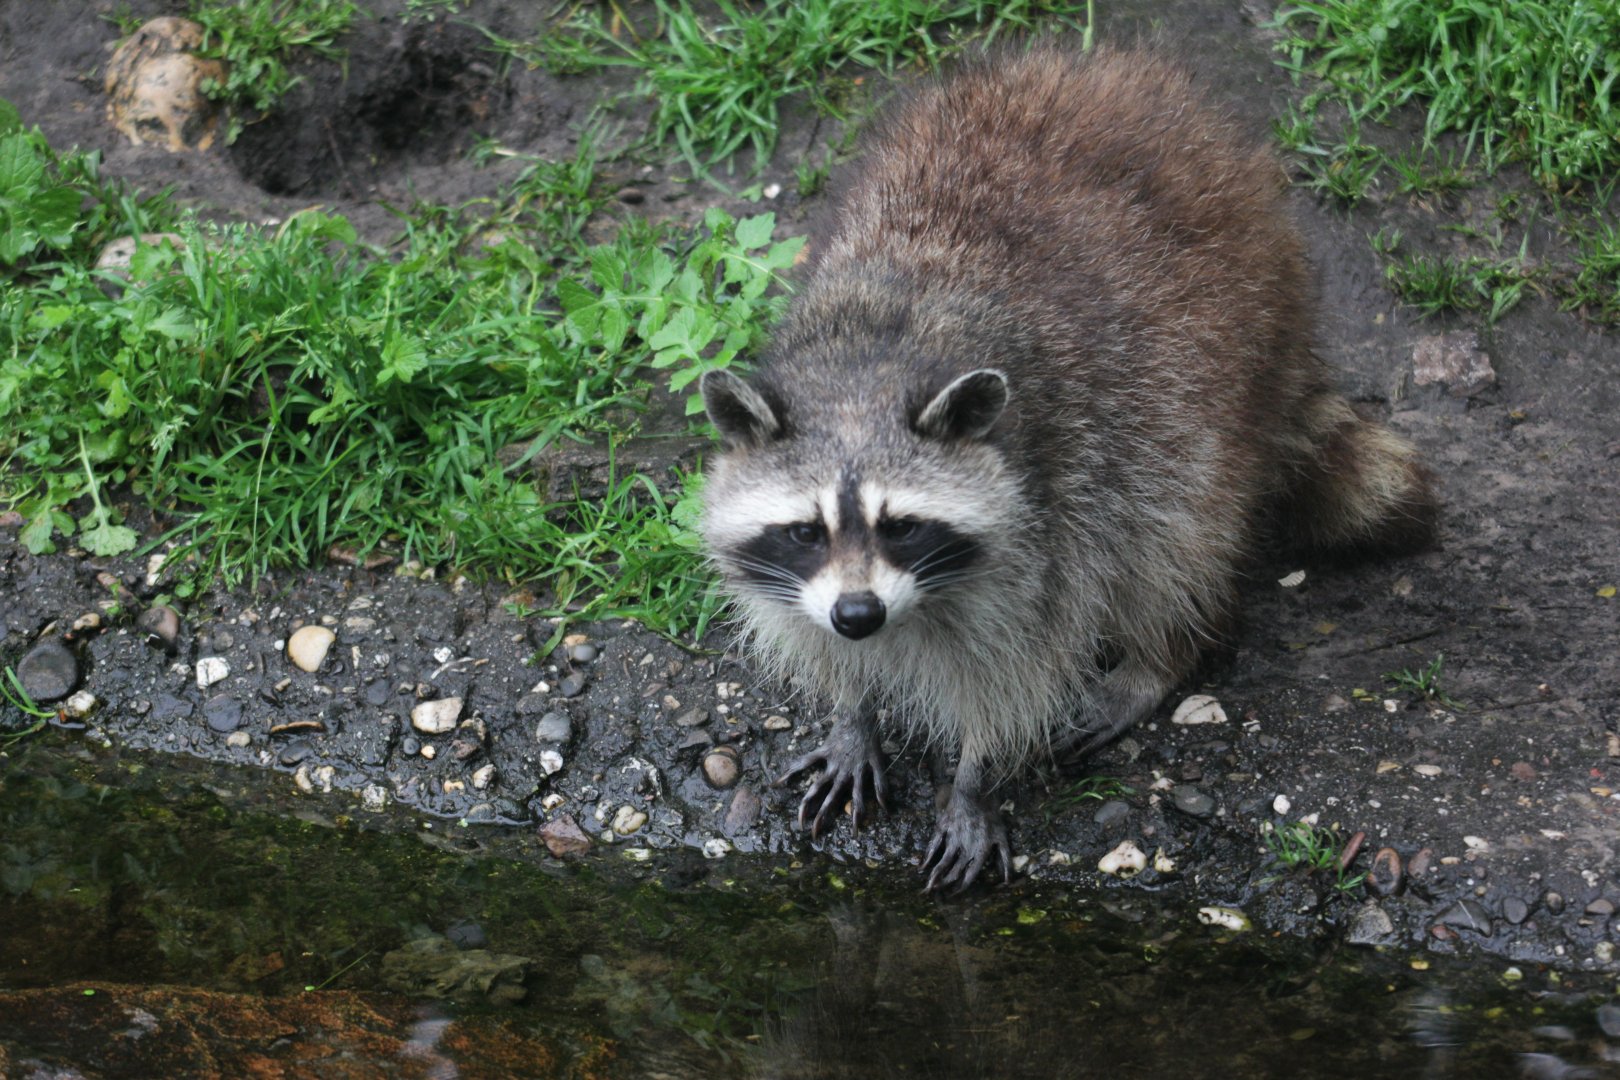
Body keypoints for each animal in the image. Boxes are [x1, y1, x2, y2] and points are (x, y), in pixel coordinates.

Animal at [698, 46, 1435, 892]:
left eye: (902, 526)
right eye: (805, 531)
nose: (859, 615)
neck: (870, 364)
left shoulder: (1053, 516)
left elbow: (1021, 671)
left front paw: (974, 777)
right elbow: (816, 637)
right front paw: (852, 711)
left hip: (1212, 375)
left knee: (1176, 534)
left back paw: (1160, 656)